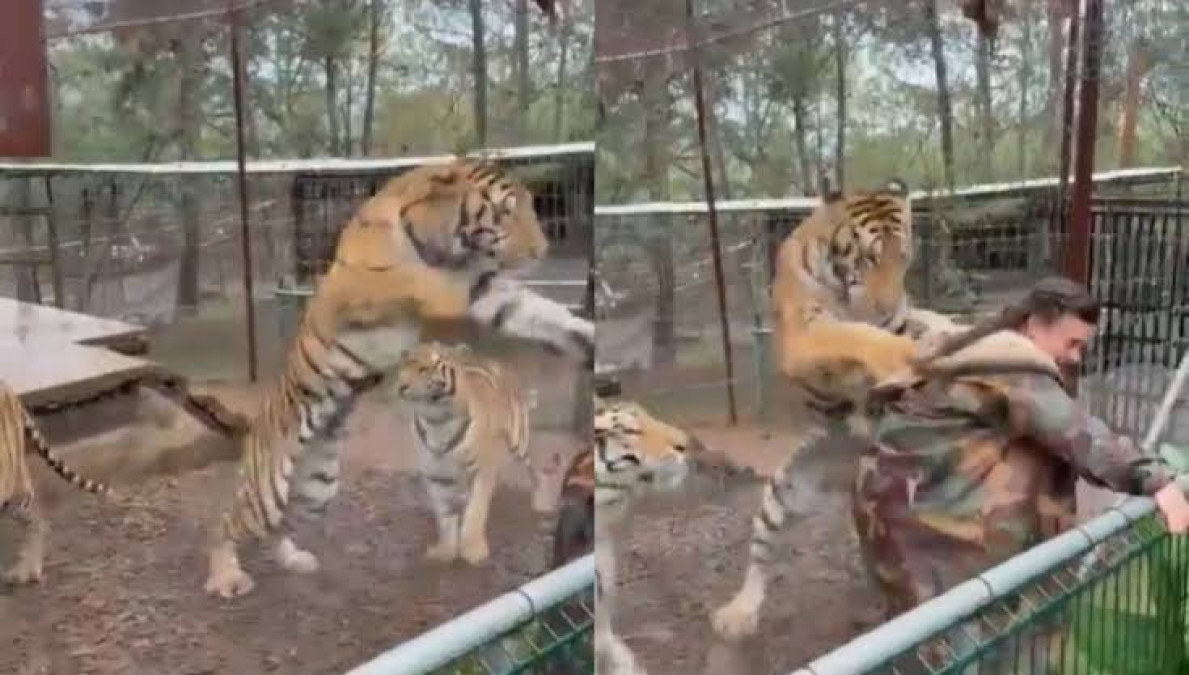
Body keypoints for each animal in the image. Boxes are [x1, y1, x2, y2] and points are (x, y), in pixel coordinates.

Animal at [389, 341, 550, 565]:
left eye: (426, 368)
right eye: (406, 364)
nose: (402, 387)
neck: (437, 422)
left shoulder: (481, 471)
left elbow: (476, 511)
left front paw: (474, 550)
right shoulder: (437, 476)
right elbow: (445, 516)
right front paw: (445, 551)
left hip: (519, 441)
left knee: (534, 470)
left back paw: (542, 503)